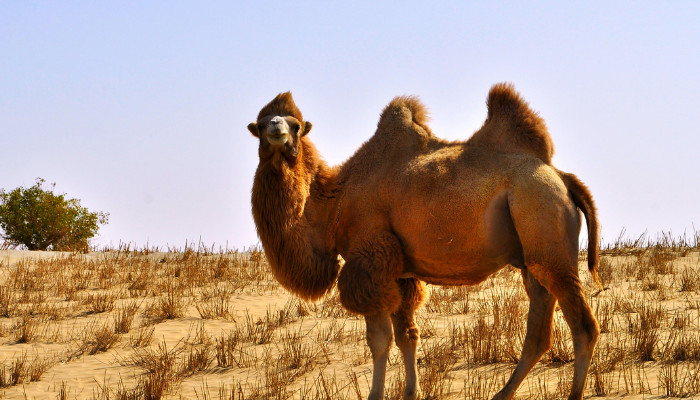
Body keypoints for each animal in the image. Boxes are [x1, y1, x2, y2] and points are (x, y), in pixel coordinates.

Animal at [247, 82, 600, 400]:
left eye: (295, 125)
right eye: (261, 124)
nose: (277, 129)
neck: (335, 202)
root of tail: (563, 178)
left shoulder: (369, 262)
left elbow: (379, 341)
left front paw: (376, 395)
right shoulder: (401, 272)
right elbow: (408, 336)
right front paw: (410, 392)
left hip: (544, 223)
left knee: (583, 326)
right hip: (532, 257)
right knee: (539, 329)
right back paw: (502, 393)